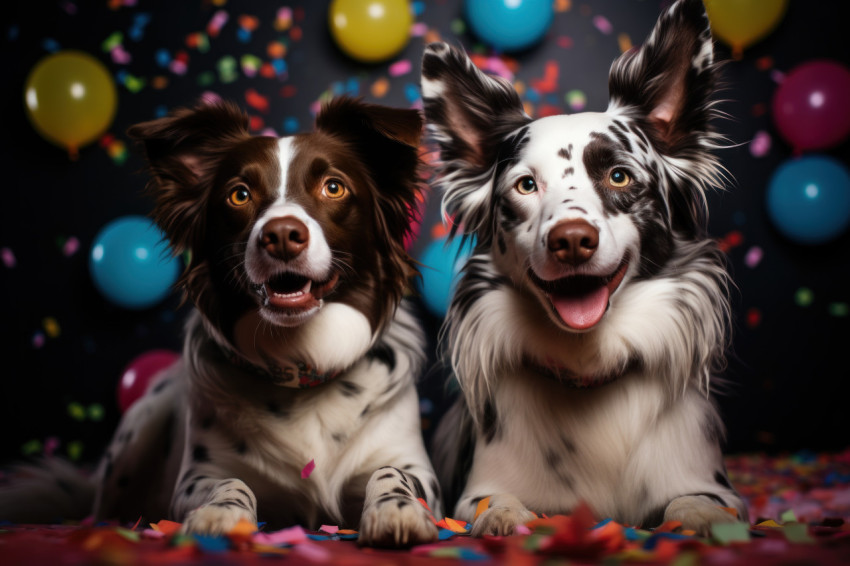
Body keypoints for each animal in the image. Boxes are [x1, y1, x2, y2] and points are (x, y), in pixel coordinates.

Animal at [1, 98, 444, 552]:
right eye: (239, 194)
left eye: (333, 187)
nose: (281, 235)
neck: (302, 364)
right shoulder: (197, 477)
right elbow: (229, 482)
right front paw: (221, 514)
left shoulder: (414, 466)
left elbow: (392, 474)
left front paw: (396, 510)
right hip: (141, 423)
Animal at [420, 0, 744, 540]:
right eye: (526, 185)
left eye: (619, 176)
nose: (571, 240)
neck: (589, 367)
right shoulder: (477, 487)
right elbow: (492, 501)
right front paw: (506, 516)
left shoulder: (708, 482)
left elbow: (693, 503)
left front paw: (700, 518)